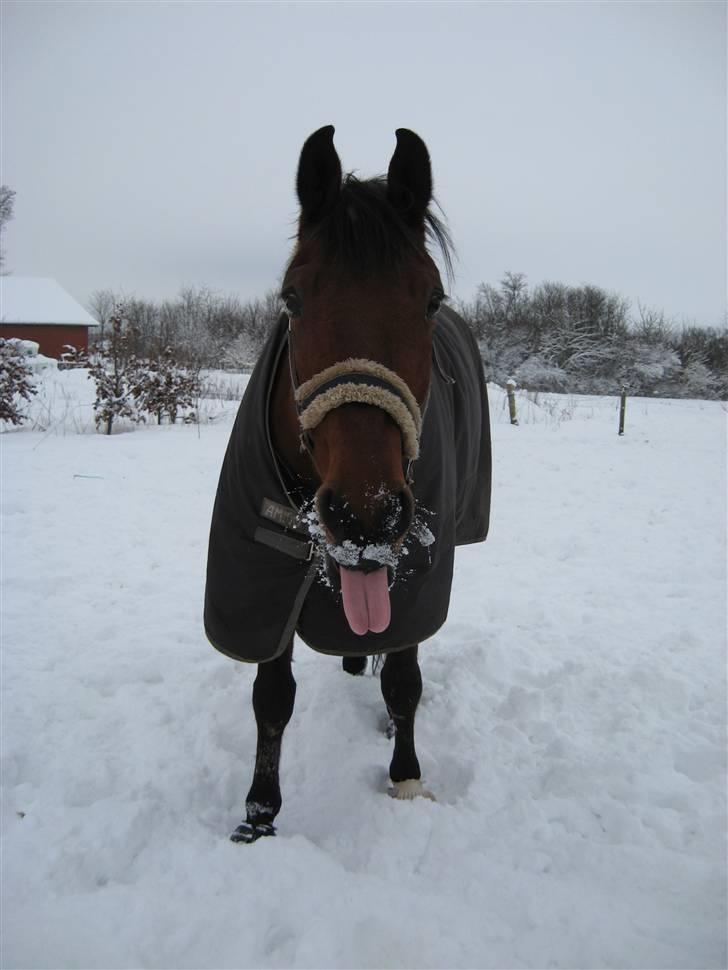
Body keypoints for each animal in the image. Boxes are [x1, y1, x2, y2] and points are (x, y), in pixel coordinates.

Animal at [202, 129, 492, 840]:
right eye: (293, 296)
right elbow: (271, 697)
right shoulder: (265, 578)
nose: (367, 515)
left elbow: (406, 681)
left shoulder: (415, 576)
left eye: (431, 298)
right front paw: (260, 813)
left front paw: (407, 779)